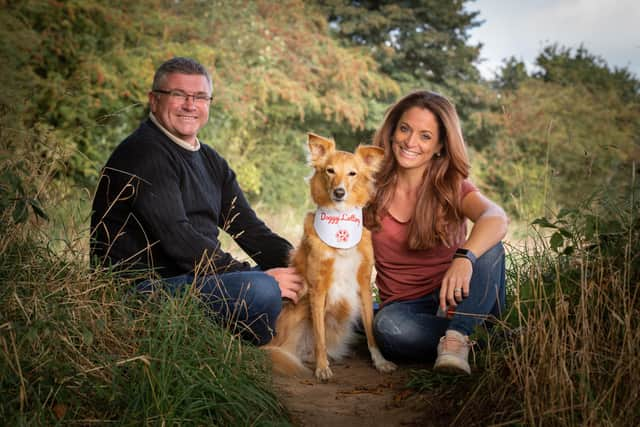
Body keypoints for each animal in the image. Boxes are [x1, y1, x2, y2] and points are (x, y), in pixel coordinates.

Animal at [264, 132, 396, 380]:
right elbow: (320, 336)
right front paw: (322, 367)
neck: (340, 223)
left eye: (352, 173)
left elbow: (371, 331)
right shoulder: (317, 289)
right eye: (330, 171)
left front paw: (381, 361)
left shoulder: (364, 284)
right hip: (299, 308)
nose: (339, 192)